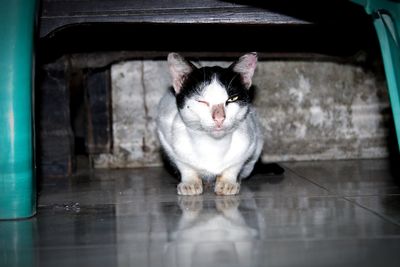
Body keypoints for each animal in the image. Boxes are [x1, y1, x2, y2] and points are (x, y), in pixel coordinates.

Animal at [155, 52, 262, 196]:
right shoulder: (166, 133)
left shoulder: (251, 138)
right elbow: (183, 163)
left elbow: (235, 165)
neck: (213, 145)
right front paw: (190, 182)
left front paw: (227, 182)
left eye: (232, 99)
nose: (219, 118)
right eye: (201, 101)